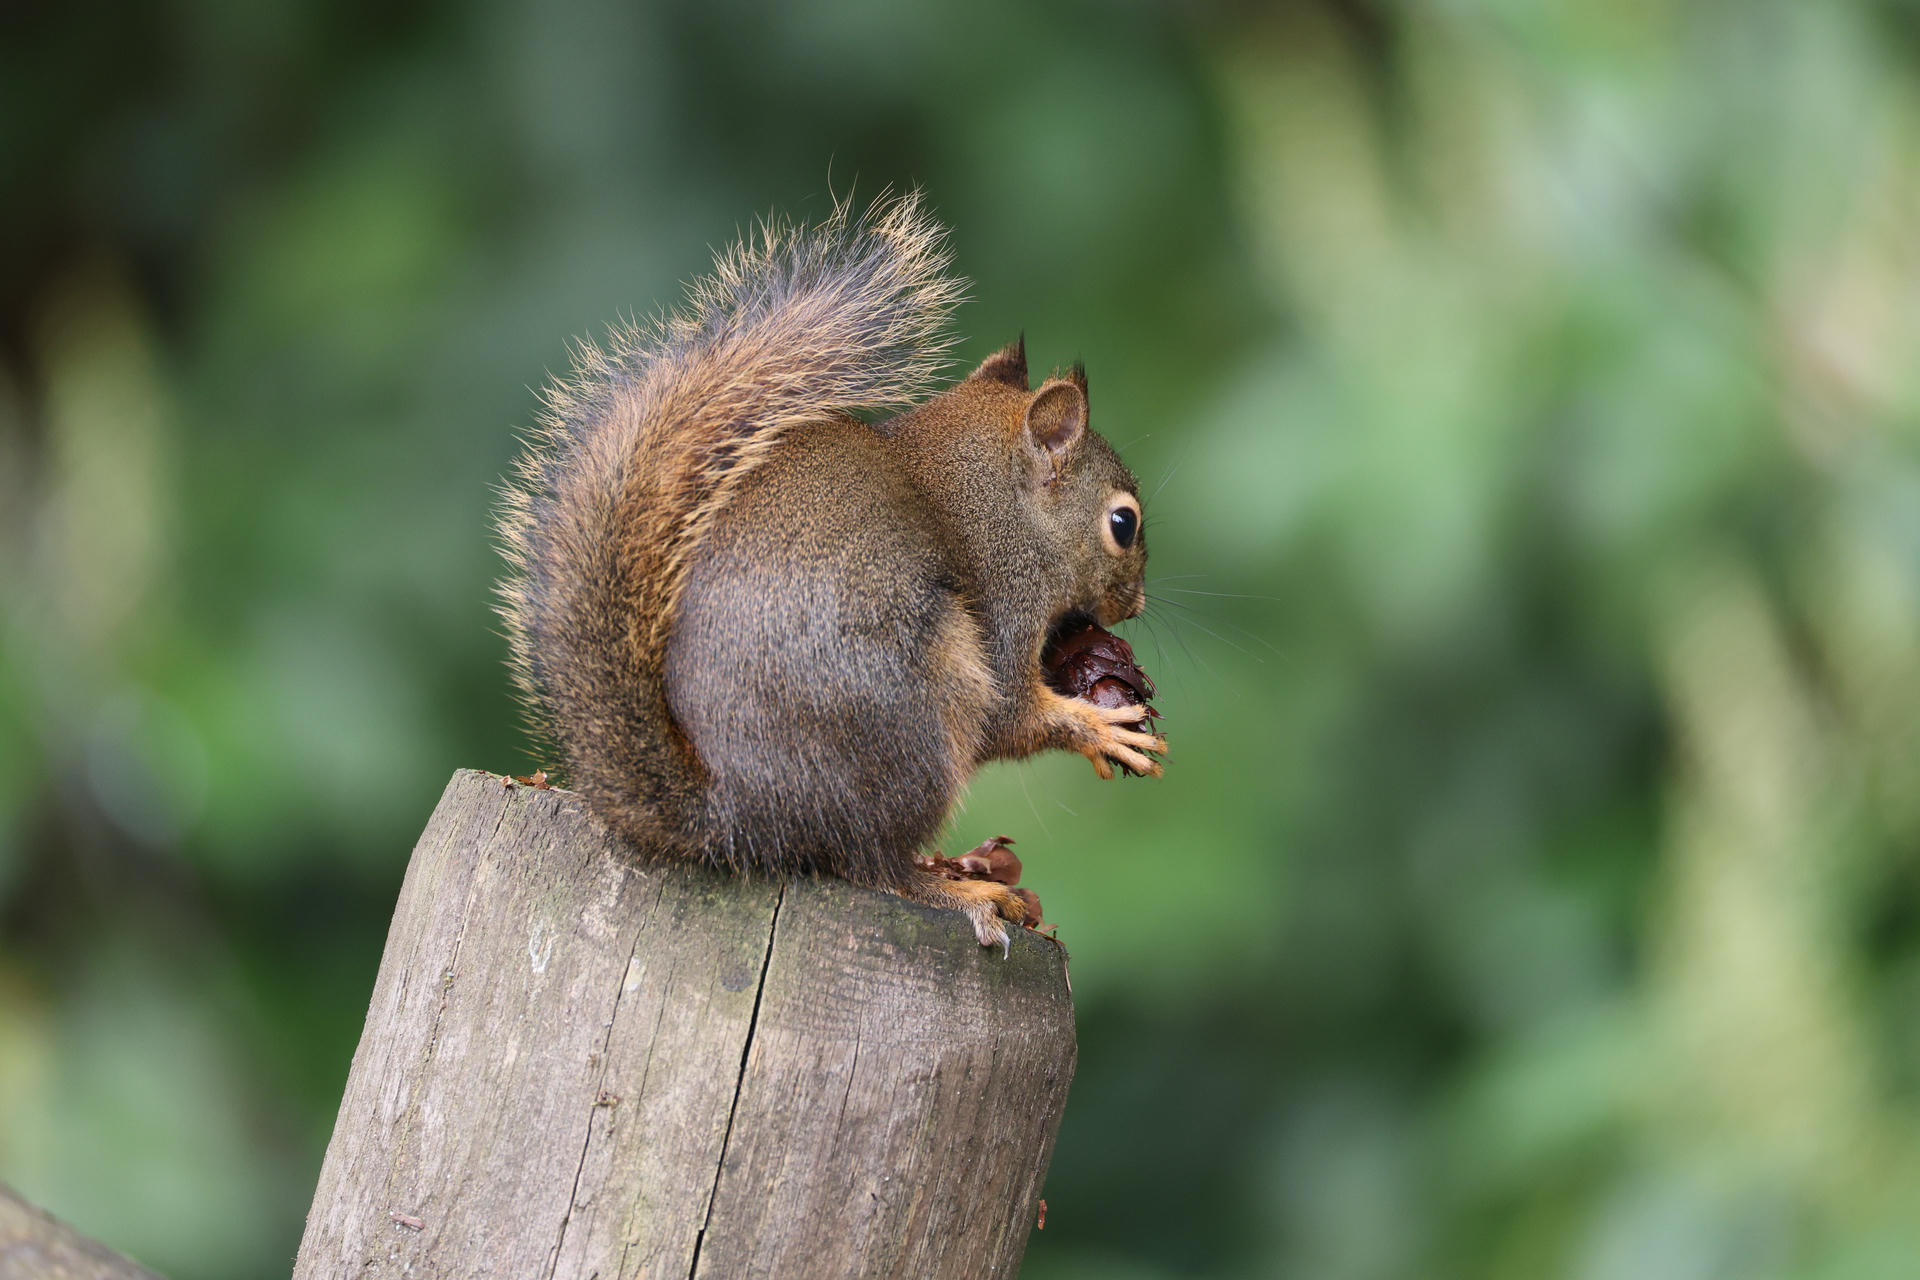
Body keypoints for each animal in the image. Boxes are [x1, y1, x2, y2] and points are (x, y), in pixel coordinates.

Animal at [496, 191, 1164, 950]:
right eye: (1122, 524)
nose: (1135, 604)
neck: (990, 497)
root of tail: (739, 817)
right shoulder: (1002, 606)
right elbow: (1012, 717)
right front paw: (1099, 728)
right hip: (918, 717)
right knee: (874, 865)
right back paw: (962, 890)